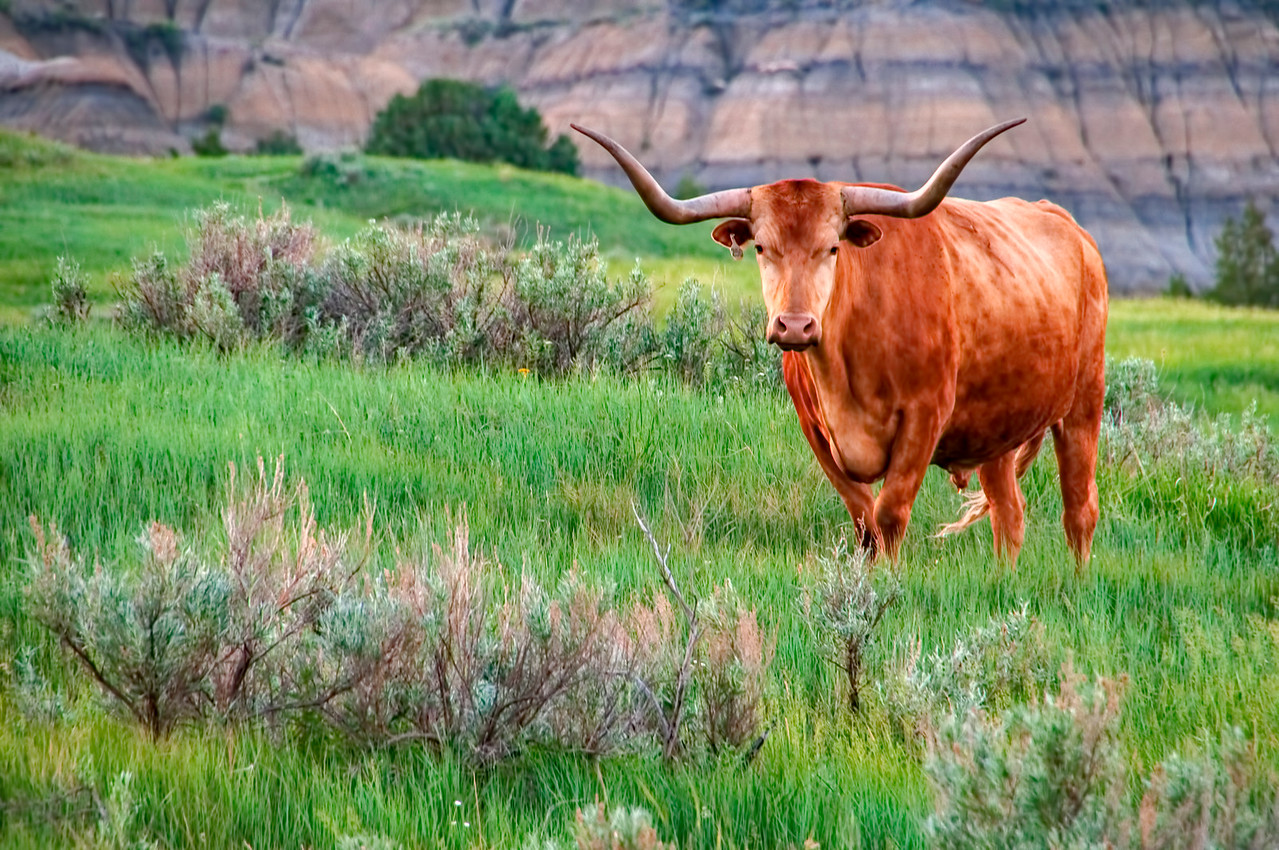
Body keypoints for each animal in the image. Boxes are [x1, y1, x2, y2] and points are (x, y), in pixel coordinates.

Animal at [573, 119, 1108, 565]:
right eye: (761, 247)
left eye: (833, 247)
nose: (794, 326)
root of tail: (1072, 228)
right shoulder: (815, 430)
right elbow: (863, 519)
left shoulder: (924, 418)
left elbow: (890, 516)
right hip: (996, 430)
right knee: (1009, 514)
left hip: (1083, 404)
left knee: (1080, 511)